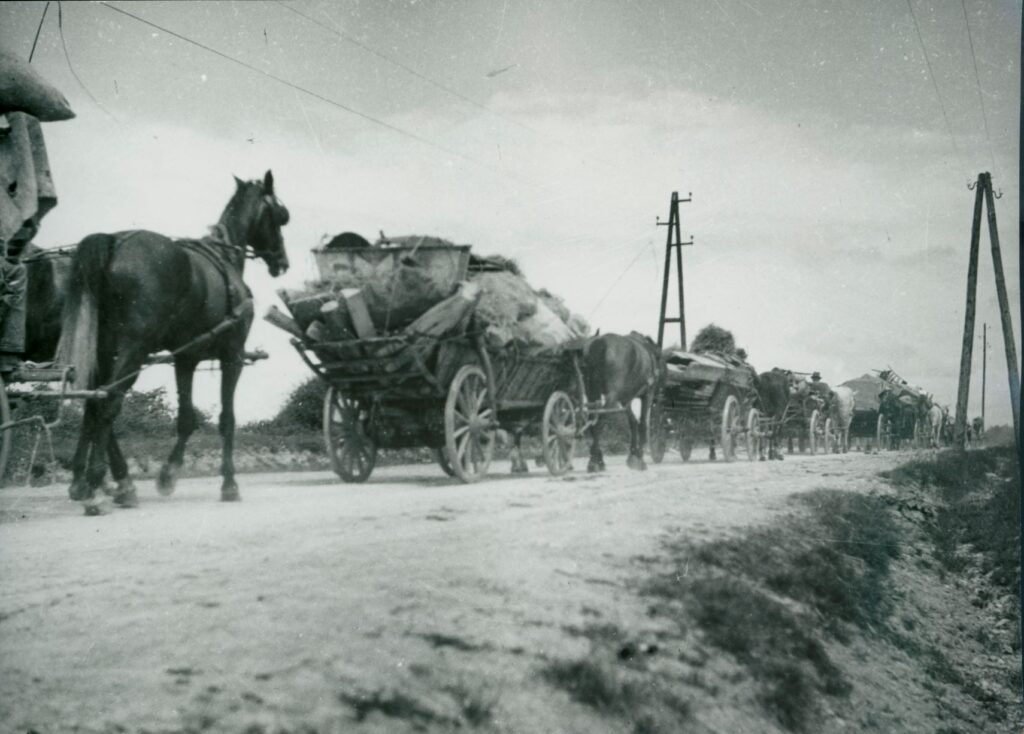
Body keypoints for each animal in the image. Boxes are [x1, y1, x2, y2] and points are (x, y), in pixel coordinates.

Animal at [57, 171, 288, 515]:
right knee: (109, 402)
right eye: (280, 216)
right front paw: (229, 484)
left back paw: (87, 483)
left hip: (103, 350)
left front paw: (168, 475)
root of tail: (115, 242)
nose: (282, 262)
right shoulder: (232, 356)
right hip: (134, 350)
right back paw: (100, 485)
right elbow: (227, 420)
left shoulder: (186, 358)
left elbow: (186, 419)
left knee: (94, 401)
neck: (225, 259)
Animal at [585, 331, 663, 468]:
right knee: (599, 422)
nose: (658, 396)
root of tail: (600, 343)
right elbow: (642, 424)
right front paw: (639, 456)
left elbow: (633, 422)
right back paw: (595, 462)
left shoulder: (626, 400)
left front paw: (633, 455)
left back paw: (597, 458)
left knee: (592, 422)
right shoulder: (647, 395)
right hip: (611, 397)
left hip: (592, 393)